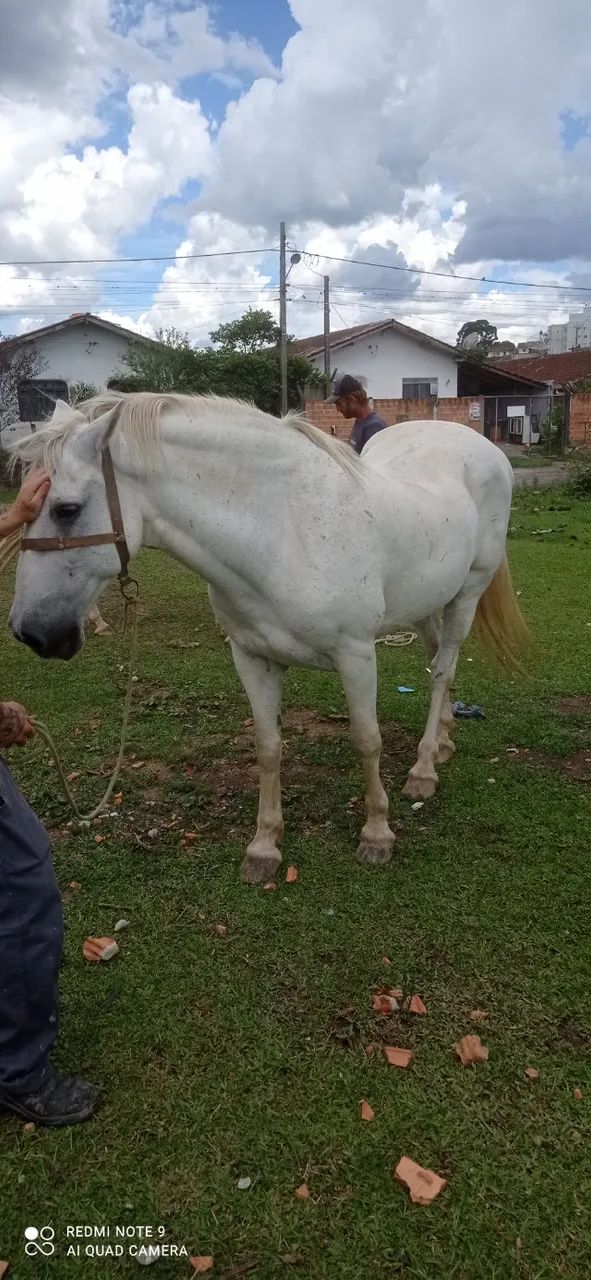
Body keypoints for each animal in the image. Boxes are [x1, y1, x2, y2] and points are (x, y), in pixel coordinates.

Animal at [8, 392, 529, 884]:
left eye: (67, 510)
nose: (31, 632)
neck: (282, 532)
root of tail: (481, 446)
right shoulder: (252, 657)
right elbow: (268, 747)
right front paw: (264, 846)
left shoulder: (356, 655)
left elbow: (367, 740)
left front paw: (377, 833)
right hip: (426, 602)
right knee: (439, 659)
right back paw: (442, 742)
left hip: (468, 593)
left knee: (443, 670)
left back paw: (423, 770)